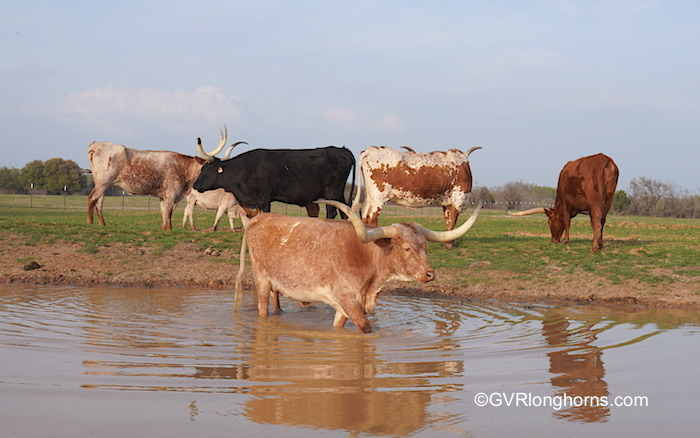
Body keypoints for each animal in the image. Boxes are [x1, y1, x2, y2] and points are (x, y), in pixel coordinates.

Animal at [235, 199, 482, 332]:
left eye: (426, 247)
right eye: (407, 248)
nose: (429, 274)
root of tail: (260, 218)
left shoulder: (349, 303)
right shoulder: (345, 297)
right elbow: (365, 326)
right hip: (261, 278)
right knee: (262, 309)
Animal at [350, 145, 482, 248]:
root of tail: (371, 150)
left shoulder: (447, 203)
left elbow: (448, 220)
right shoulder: (458, 199)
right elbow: (453, 222)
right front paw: (449, 244)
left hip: (370, 196)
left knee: (365, 215)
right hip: (378, 196)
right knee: (372, 217)